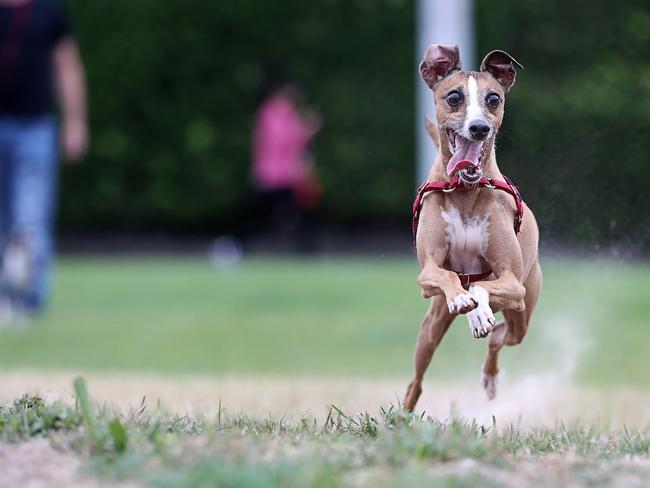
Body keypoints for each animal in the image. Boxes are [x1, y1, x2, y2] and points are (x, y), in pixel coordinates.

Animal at [402, 44, 540, 412]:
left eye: (494, 99)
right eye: (454, 97)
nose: (478, 128)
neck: (465, 189)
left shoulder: (512, 284)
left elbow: (481, 287)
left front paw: (477, 310)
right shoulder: (427, 275)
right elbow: (449, 277)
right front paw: (466, 302)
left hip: (522, 309)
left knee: (501, 335)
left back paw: (490, 374)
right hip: (431, 327)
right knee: (416, 381)